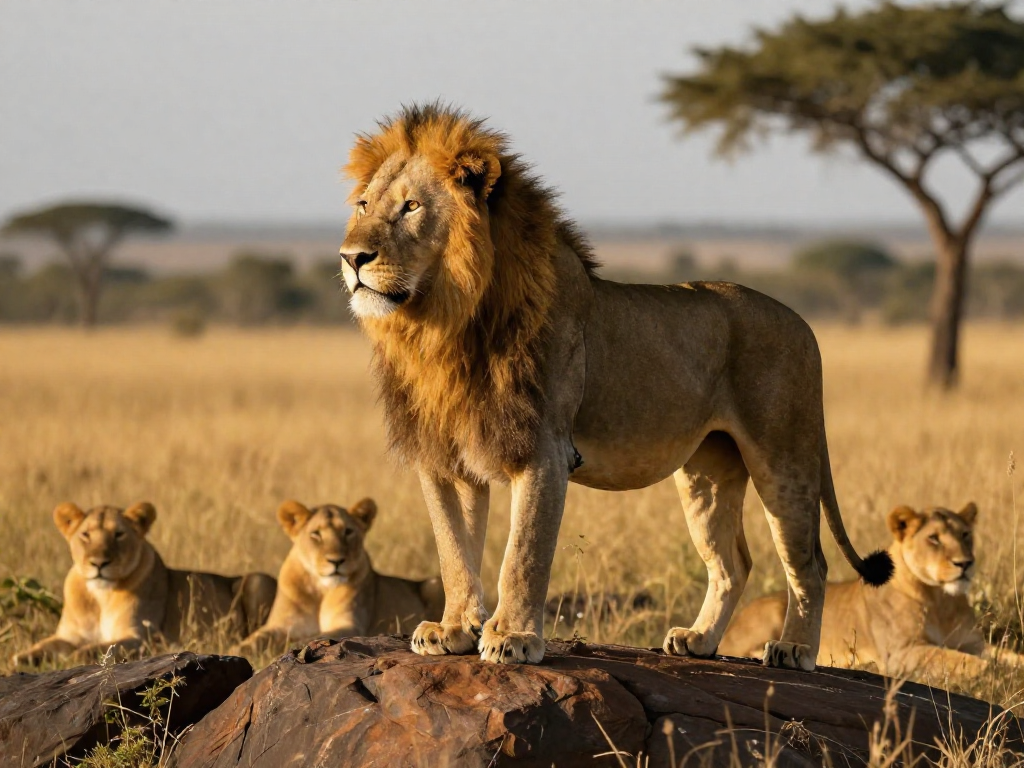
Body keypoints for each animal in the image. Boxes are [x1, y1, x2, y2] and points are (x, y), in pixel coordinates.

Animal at [11, 502, 277, 666]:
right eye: (85, 535)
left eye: (119, 534)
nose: (99, 563)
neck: (99, 596)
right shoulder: (69, 635)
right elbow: (44, 645)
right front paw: (21, 658)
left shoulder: (141, 637)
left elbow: (96, 649)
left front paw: (74, 658)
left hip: (257, 581)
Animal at [237, 498, 443, 652]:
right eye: (316, 534)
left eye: (348, 531)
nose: (336, 561)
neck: (319, 589)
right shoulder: (281, 625)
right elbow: (256, 638)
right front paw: (239, 649)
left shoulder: (350, 624)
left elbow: (312, 638)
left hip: (433, 584)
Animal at [338, 103, 891, 669]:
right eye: (363, 205)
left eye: (411, 207)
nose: (351, 258)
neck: (445, 326)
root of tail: (805, 324)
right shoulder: (445, 458)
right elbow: (453, 550)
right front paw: (452, 629)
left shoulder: (544, 450)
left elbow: (523, 554)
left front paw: (513, 637)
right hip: (709, 469)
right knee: (734, 562)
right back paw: (699, 640)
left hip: (785, 458)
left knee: (810, 562)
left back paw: (794, 648)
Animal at [719, 503, 1024, 678]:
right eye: (934, 539)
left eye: (965, 535)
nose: (965, 563)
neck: (941, 601)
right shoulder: (900, 653)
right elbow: (966, 660)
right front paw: (997, 672)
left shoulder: (974, 643)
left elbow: (1004, 655)